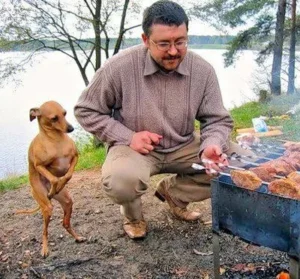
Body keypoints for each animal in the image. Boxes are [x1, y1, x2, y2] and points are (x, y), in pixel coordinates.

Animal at [17, 100, 85, 258]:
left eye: (65, 113)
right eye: (54, 118)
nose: (71, 128)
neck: (56, 141)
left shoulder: (75, 158)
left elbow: (68, 175)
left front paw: (60, 184)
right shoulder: (39, 165)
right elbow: (54, 179)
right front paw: (55, 186)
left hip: (67, 202)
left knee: (65, 223)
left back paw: (77, 237)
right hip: (46, 207)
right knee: (44, 231)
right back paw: (45, 248)